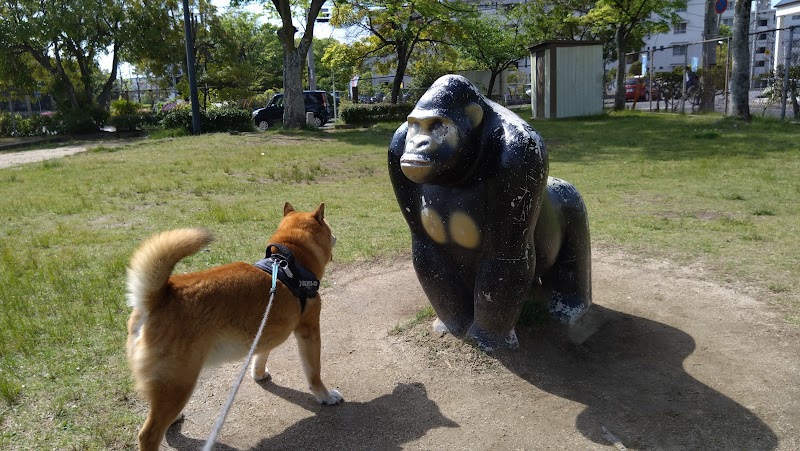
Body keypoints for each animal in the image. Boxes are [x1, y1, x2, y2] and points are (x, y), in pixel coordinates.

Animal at [125, 204, 340, 451]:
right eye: (329, 227)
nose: (336, 236)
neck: (290, 263)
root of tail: (158, 296)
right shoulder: (309, 331)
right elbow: (314, 373)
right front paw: (325, 396)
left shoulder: (265, 332)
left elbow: (260, 357)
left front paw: (259, 374)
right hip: (179, 382)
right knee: (149, 434)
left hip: (168, 386)